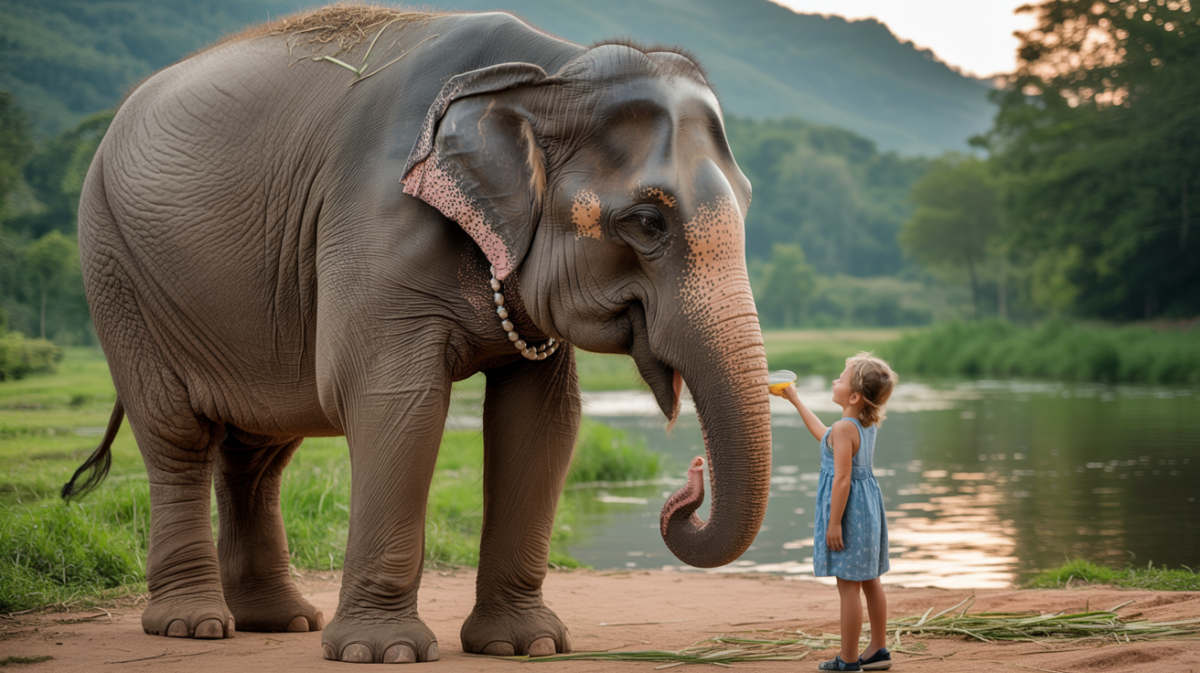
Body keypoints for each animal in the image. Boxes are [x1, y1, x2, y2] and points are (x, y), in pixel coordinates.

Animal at [64, 4, 772, 664]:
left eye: (748, 203)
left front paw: (525, 646)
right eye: (648, 222)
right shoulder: (373, 224)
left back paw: (281, 622)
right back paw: (194, 627)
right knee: (178, 437)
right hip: (115, 270)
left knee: (259, 448)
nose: (690, 483)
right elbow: (395, 402)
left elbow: (542, 417)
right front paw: (382, 652)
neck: (547, 73)